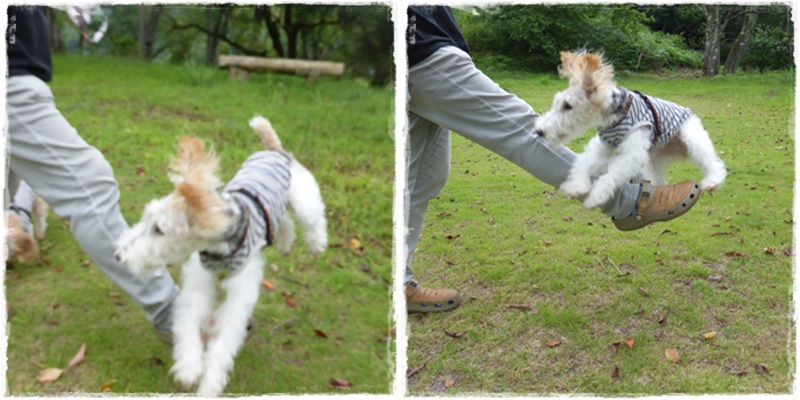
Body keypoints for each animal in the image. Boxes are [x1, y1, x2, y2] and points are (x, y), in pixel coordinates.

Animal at [114, 116, 326, 396]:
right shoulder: (198, 281)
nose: (118, 255)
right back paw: (284, 243)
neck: (219, 250)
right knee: (285, 223)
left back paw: (317, 244)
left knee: (312, 218)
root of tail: (273, 149)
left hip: (303, 197)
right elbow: (188, 323)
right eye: (146, 218)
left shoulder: (239, 294)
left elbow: (224, 342)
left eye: (159, 230)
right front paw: (189, 367)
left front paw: (209, 384)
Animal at [536, 50, 728, 209]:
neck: (615, 117)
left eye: (568, 106)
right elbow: (584, 163)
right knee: (659, 179)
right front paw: (576, 186)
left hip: (692, 139)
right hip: (653, 160)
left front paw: (595, 197)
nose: (539, 131)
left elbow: (610, 175)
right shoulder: (603, 147)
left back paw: (712, 181)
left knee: (713, 162)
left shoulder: (632, 154)